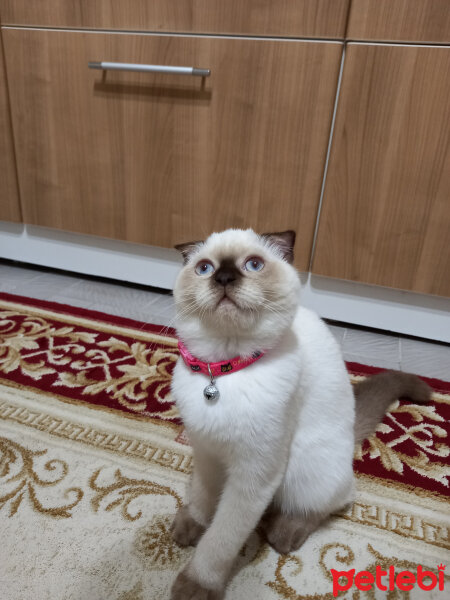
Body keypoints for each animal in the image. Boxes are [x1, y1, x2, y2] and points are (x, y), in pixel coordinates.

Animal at [169, 227, 428, 596]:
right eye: (205, 268)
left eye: (253, 264)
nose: (224, 277)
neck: (219, 375)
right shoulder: (206, 451)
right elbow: (203, 499)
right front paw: (190, 526)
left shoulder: (253, 475)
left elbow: (221, 539)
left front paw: (195, 586)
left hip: (300, 469)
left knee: (333, 501)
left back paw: (282, 533)